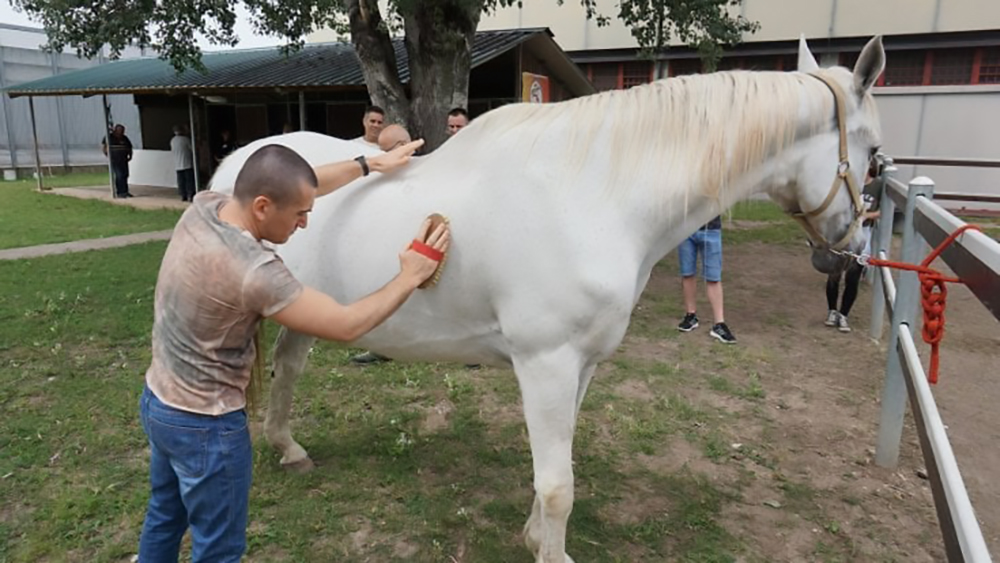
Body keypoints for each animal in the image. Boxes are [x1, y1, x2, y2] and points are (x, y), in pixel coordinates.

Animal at [209, 35, 886, 563]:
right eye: (876, 154)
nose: (848, 252)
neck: (593, 197)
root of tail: (230, 170)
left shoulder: (577, 367)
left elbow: (552, 477)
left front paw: (536, 538)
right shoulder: (547, 363)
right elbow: (559, 484)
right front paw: (550, 548)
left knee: (289, 368)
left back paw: (289, 449)